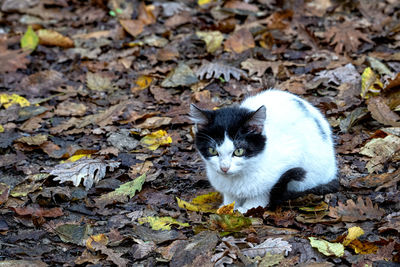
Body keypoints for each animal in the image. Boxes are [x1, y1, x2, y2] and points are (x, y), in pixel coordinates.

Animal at [191, 89, 338, 214]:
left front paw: (248, 208)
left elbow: (264, 189)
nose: (224, 168)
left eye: (238, 151)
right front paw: (227, 206)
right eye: (212, 150)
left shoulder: (293, 151)